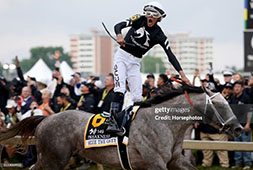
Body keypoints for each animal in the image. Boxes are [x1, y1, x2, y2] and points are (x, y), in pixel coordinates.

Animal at [0, 87, 242, 169]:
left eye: (228, 101)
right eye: (221, 105)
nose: (238, 128)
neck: (164, 123)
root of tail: (45, 120)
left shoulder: (174, 160)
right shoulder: (155, 163)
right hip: (54, 158)